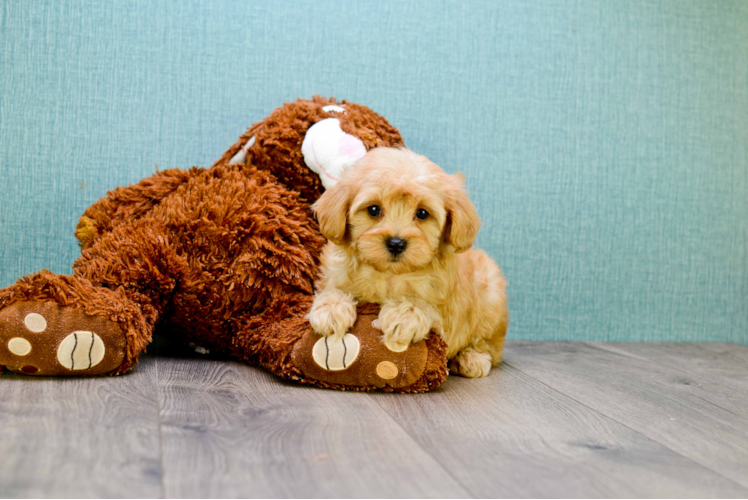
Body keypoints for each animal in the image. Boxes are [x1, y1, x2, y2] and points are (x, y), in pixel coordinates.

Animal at [306, 146, 508, 376]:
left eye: (422, 213)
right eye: (373, 209)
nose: (396, 243)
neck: (388, 274)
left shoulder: (444, 308)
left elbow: (424, 305)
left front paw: (404, 316)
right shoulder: (335, 273)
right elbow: (333, 289)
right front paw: (330, 310)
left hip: (491, 296)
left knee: (490, 344)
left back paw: (472, 359)